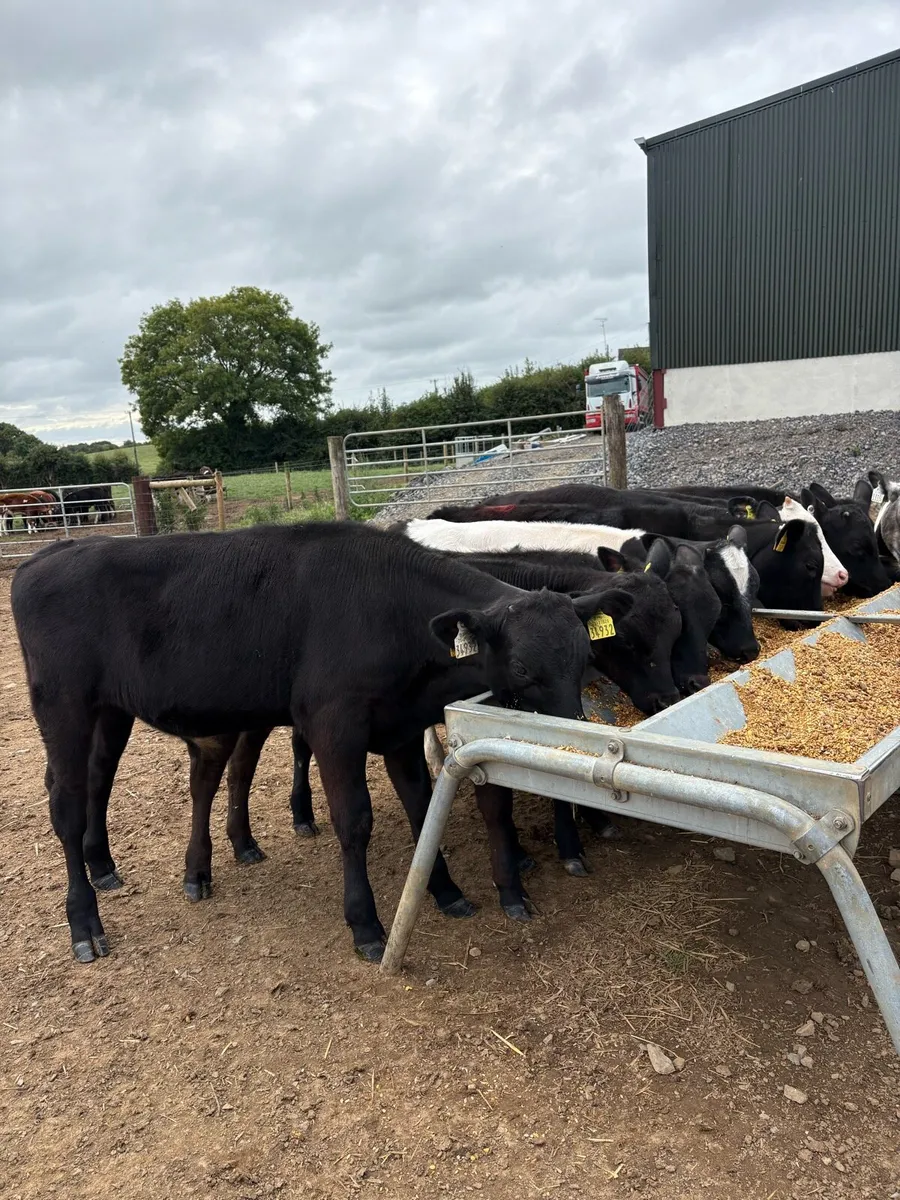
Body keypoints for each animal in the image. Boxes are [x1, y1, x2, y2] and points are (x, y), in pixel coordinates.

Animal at [12, 523, 619, 964]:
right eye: (520, 669)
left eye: (585, 656)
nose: (576, 736)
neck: (393, 611)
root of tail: (46, 556)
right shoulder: (333, 724)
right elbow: (354, 822)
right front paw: (366, 924)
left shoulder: (399, 729)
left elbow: (422, 809)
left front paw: (445, 892)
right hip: (61, 705)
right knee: (65, 805)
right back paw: (85, 923)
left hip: (109, 711)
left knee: (99, 780)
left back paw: (109, 866)